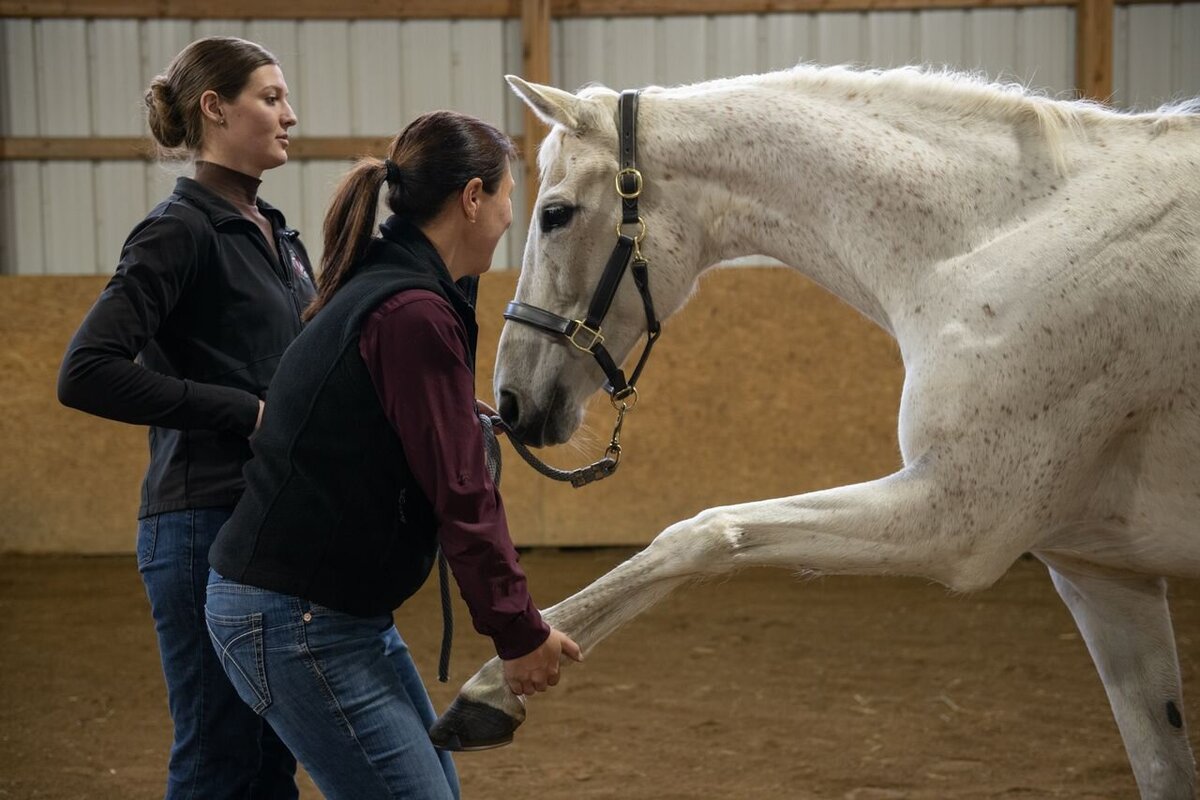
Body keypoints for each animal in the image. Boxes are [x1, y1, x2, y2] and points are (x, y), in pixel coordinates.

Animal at [429, 65, 1200, 798]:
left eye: (554, 214)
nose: (511, 401)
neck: (1000, 237)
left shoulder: (960, 520)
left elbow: (704, 533)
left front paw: (491, 689)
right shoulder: (1102, 576)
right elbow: (1161, 765)